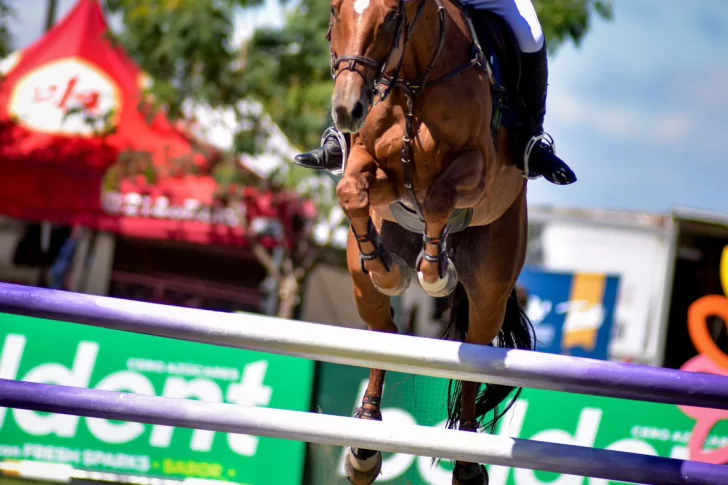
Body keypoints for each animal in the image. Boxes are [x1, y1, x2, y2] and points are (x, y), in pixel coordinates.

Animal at [330, 0, 536, 480]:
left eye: (390, 18)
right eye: (334, 11)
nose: (347, 108)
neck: (413, 83)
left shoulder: (477, 170)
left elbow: (440, 196)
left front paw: (436, 273)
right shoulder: (373, 164)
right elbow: (351, 190)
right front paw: (389, 270)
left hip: (491, 287)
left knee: (476, 354)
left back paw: (467, 457)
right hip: (359, 280)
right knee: (384, 332)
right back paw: (365, 444)